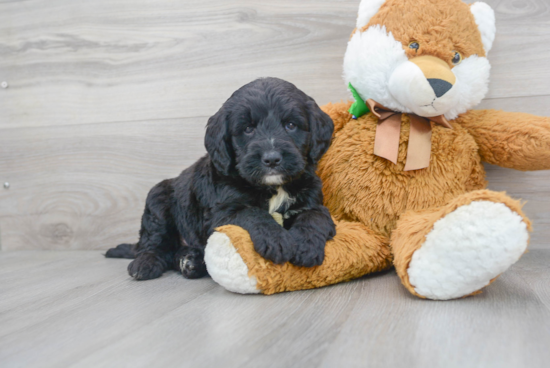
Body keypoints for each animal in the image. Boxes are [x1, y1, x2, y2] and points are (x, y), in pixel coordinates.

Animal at [104, 77, 336, 278]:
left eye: (291, 125)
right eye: (248, 129)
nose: (271, 159)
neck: (271, 188)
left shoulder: (312, 199)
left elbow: (314, 216)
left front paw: (306, 245)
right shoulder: (220, 213)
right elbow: (252, 213)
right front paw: (277, 239)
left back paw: (191, 261)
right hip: (157, 198)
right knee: (155, 242)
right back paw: (146, 263)